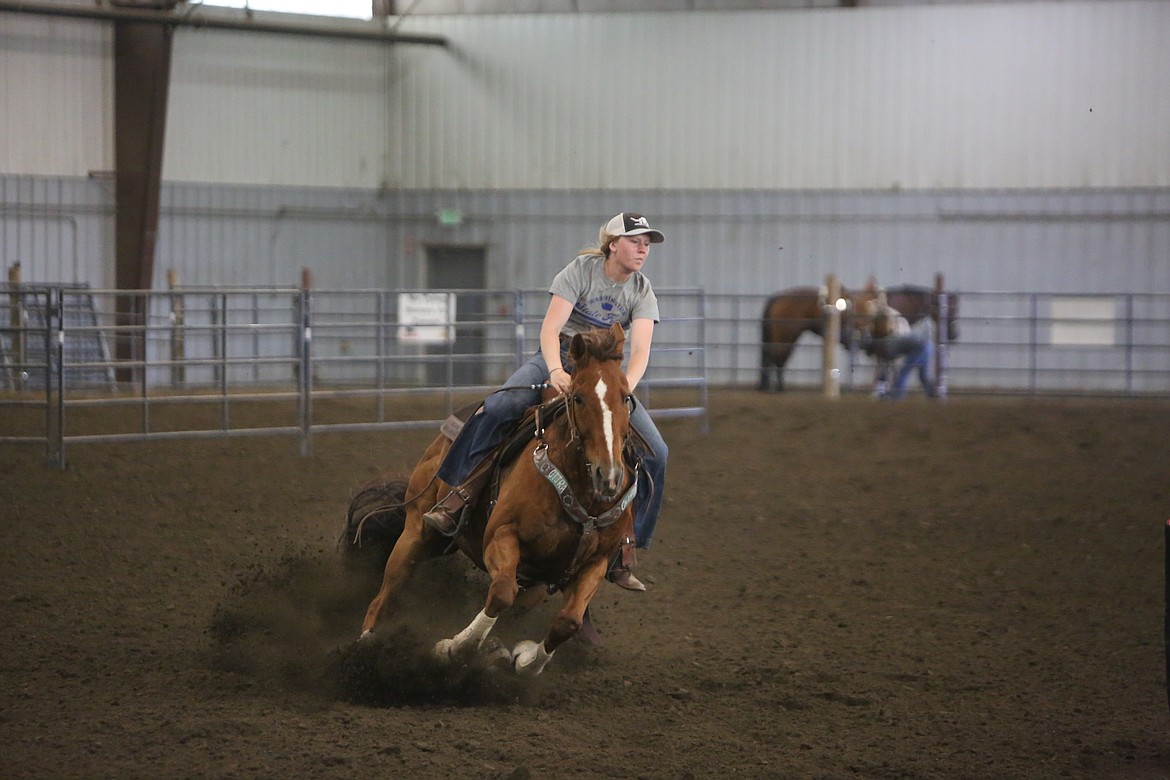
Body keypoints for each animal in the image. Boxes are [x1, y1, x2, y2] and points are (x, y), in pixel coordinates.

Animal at [353, 322, 641, 678]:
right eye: (578, 397)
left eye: (626, 397)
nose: (608, 475)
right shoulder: (502, 535)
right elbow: (501, 593)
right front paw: (453, 648)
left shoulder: (594, 563)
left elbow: (568, 622)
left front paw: (526, 659)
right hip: (417, 530)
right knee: (386, 592)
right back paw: (366, 647)